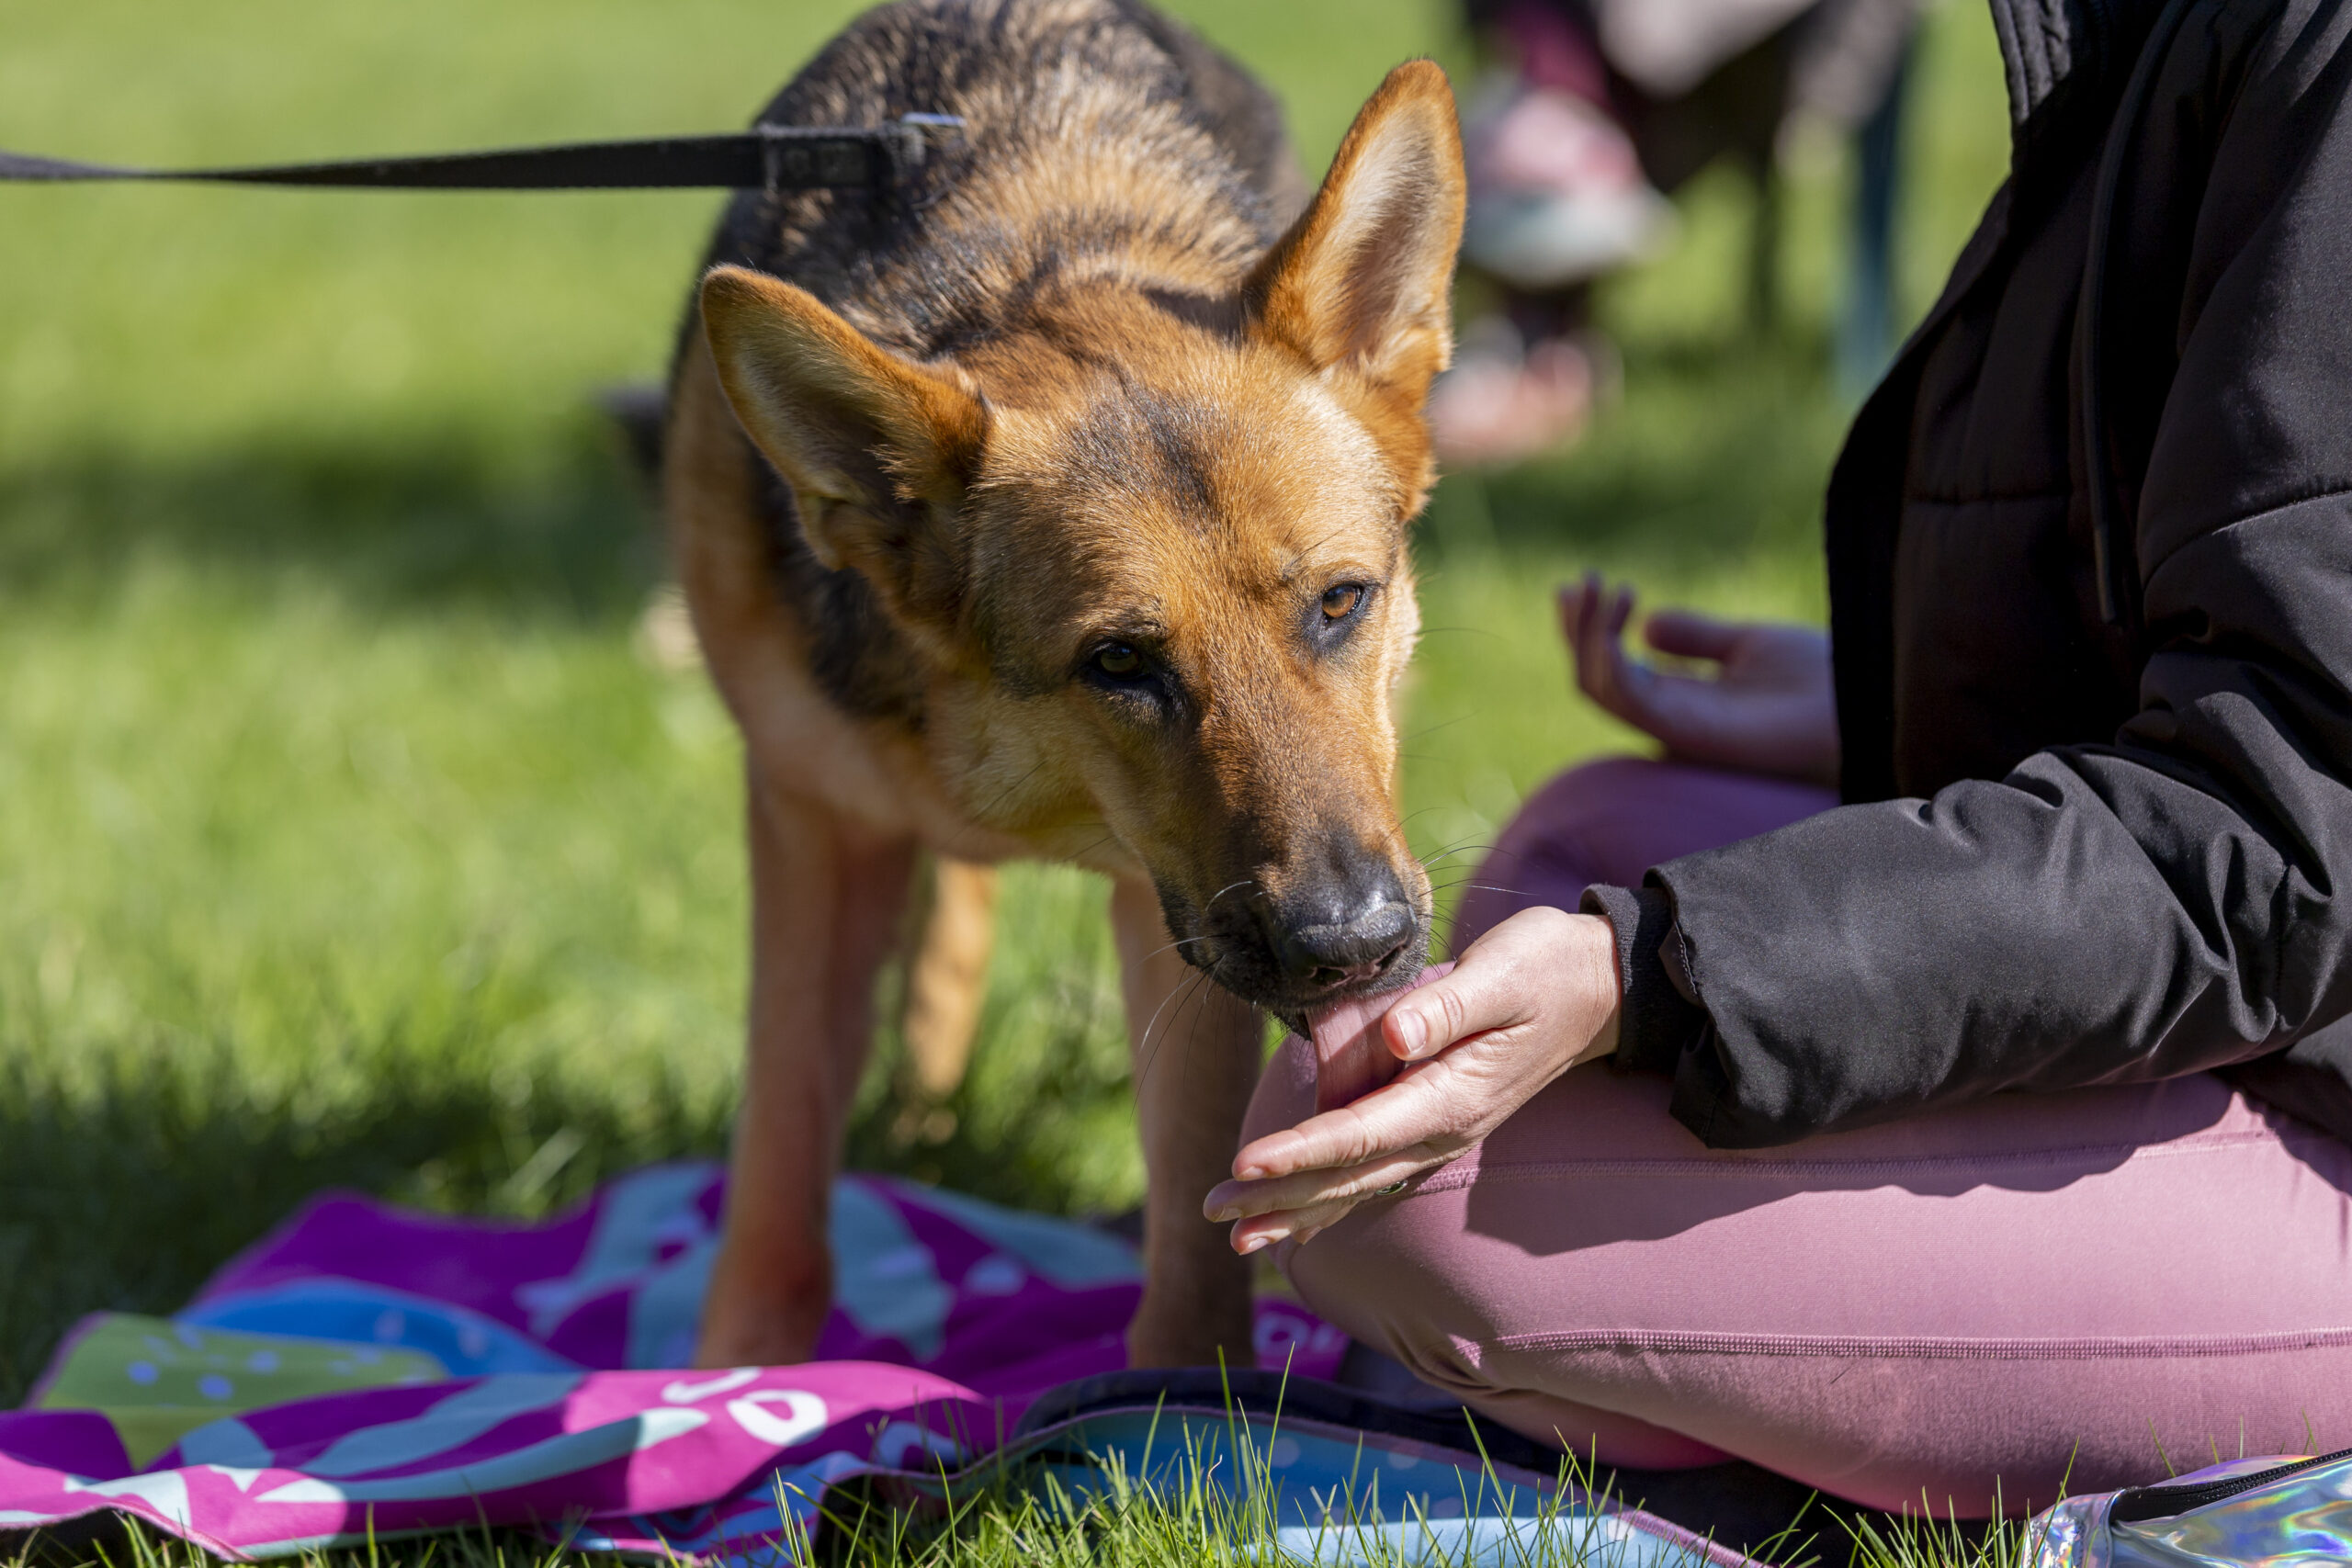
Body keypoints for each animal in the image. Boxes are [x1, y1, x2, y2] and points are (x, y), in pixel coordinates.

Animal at [662, 0, 1458, 1372]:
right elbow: (778, 1170)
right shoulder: (813, 824)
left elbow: (1195, 1204)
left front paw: (1180, 1401)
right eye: (1120, 663)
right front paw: (734, 1392)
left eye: (1340, 602)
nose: (1352, 948)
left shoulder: (1175, 919)